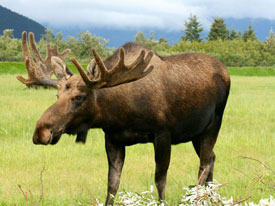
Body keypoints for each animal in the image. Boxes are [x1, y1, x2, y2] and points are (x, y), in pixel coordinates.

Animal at [32, 42, 231, 205]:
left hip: (214, 124)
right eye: (57, 95)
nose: (41, 132)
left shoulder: (163, 133)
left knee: (204, 164)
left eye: (79, 97)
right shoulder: (113, 139)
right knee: (212, 158)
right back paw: (212, 197)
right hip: (196, 133)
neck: (120, 113)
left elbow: (160, 179)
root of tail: (226, 70)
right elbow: (112, 184)